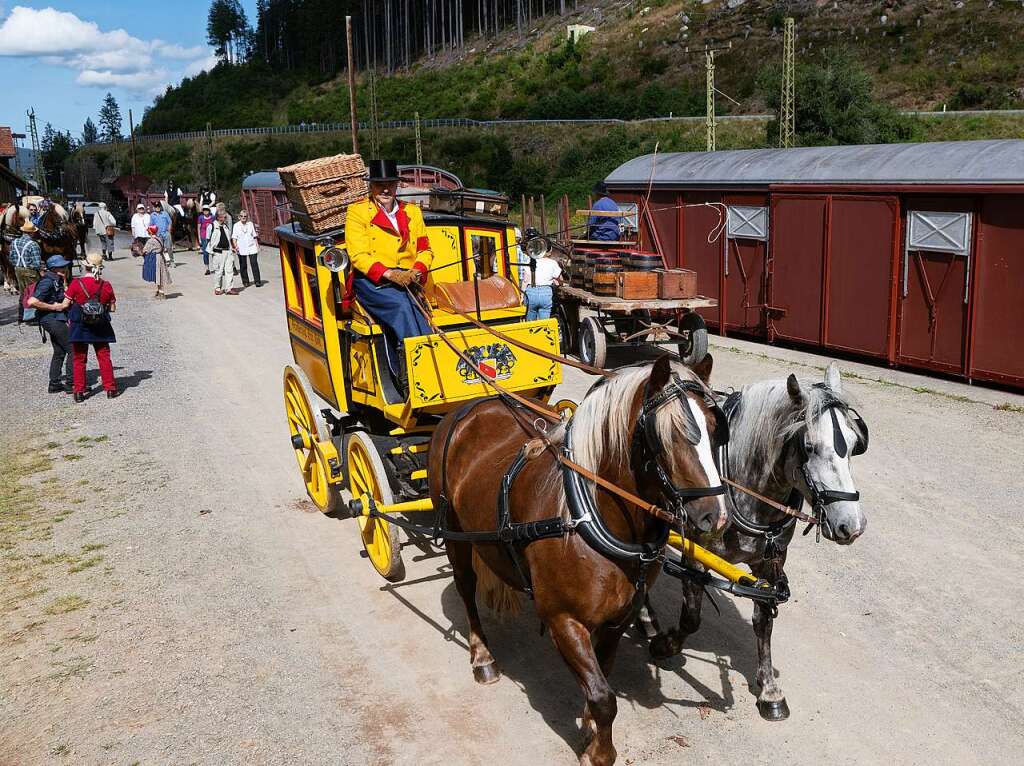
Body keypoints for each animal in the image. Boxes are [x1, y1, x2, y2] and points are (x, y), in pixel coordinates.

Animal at [428, 356, 733, 761]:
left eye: (715, 430)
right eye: (668, 434)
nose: (715, 517)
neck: (588, 517)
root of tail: (467, 408)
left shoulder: (619, 618)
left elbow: (602, 676)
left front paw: (588, 726)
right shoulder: (564, 620)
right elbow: (604, 698)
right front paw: (599, 753)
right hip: (454, 533)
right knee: (466, 588)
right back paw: (482, 656)